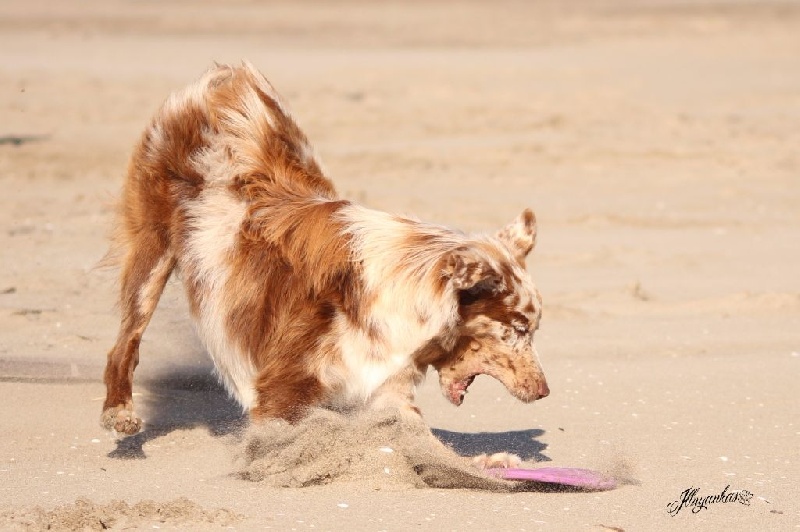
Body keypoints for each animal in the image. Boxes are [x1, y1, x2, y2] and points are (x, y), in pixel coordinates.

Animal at [101, 62, 552, 458]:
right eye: (517, 329)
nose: (545, 391)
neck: (403, 290)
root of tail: (227, 83)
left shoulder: (385, 387)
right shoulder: (284, 387)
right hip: (152, 255)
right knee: (125, 344)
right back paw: (119, 413)